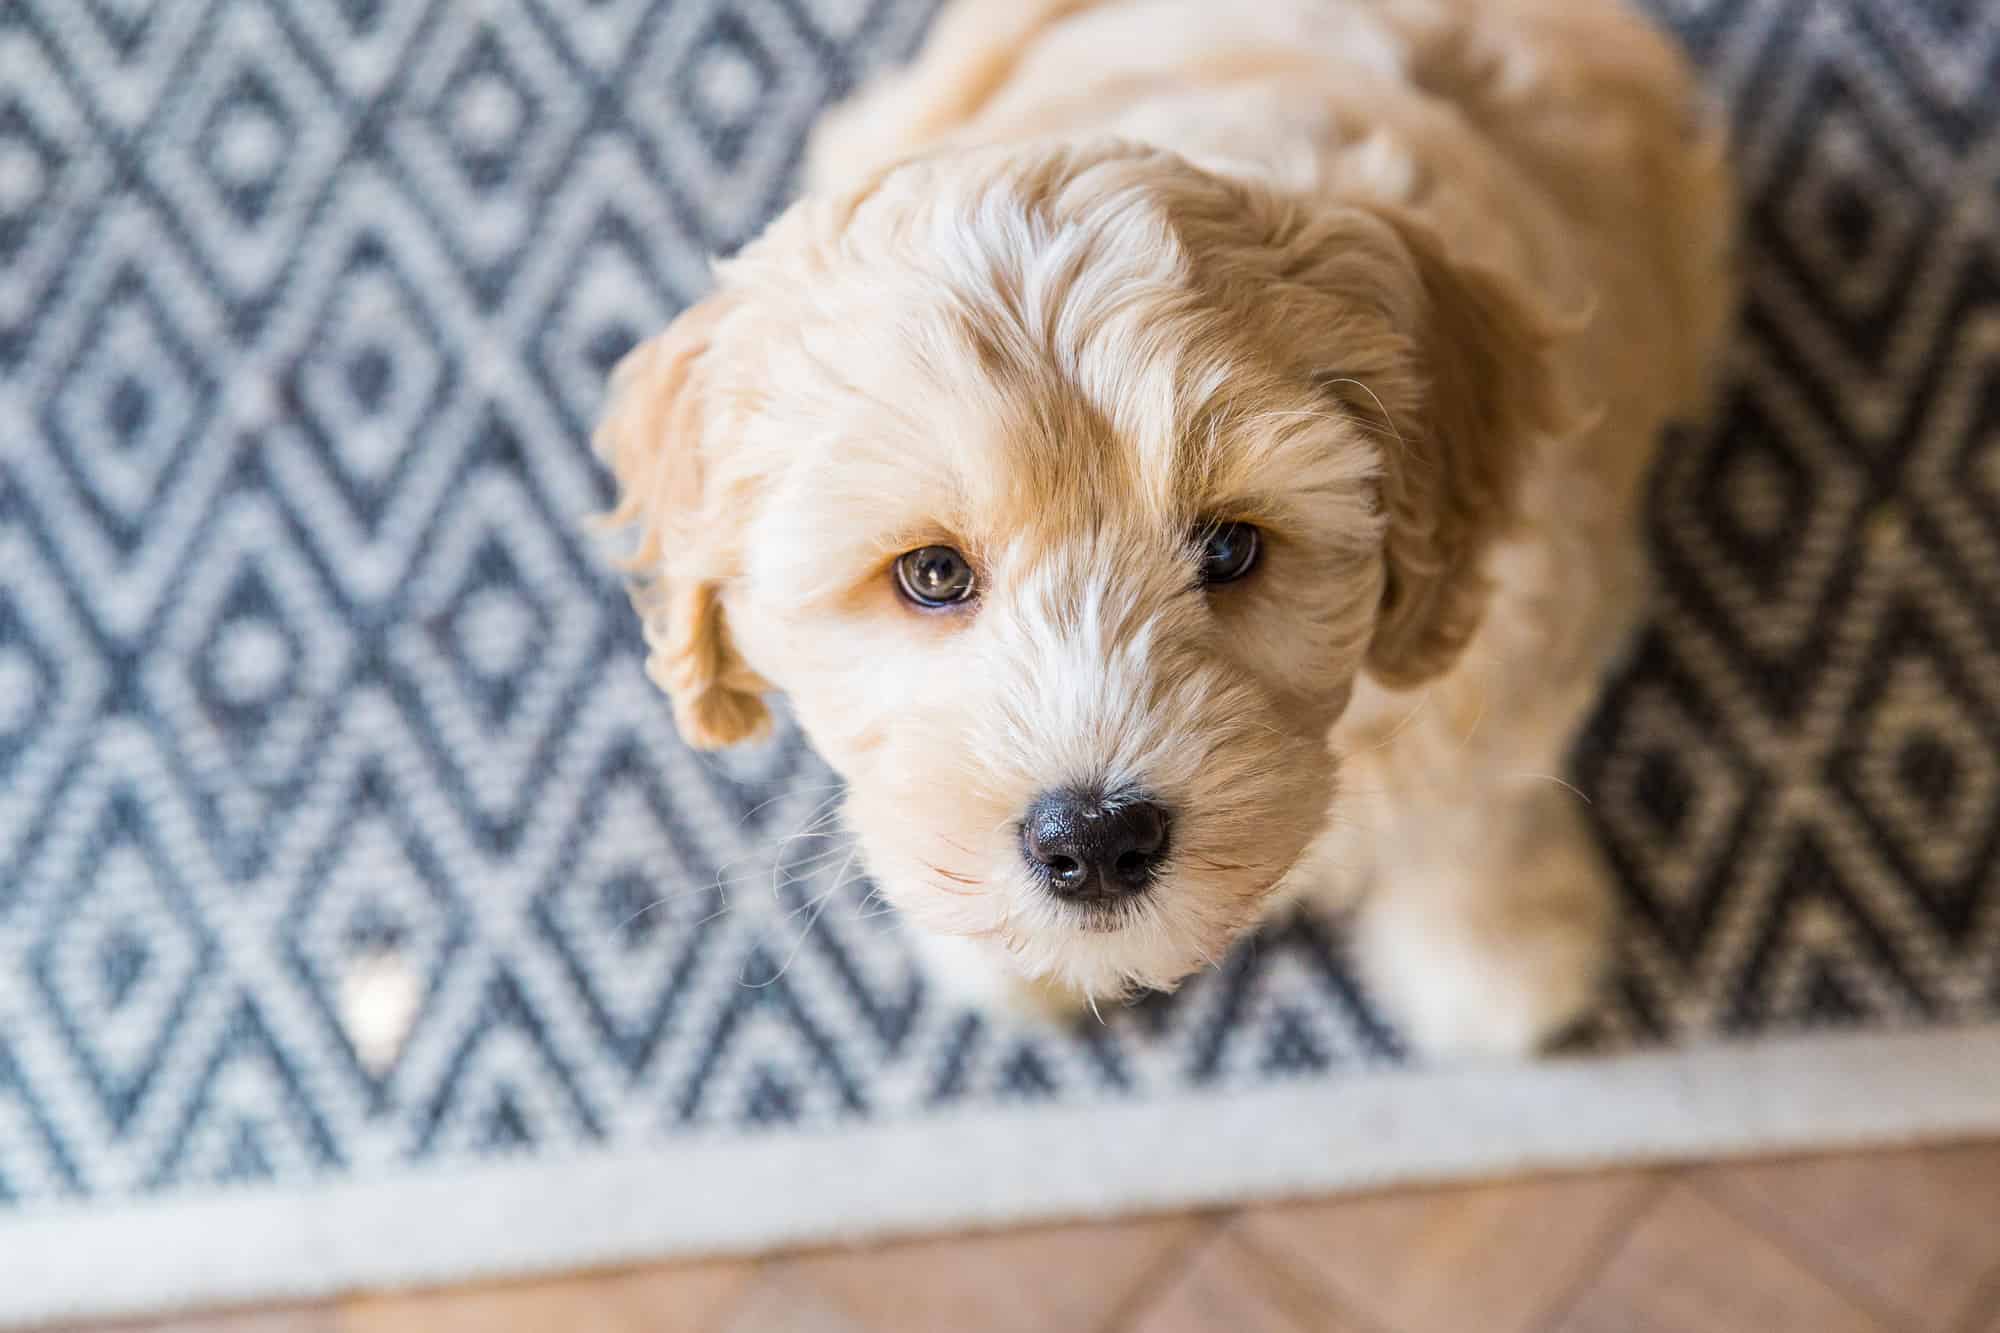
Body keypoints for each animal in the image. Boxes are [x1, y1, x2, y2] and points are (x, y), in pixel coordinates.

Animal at [596, 0, 1736, 1056]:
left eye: (1230, 548)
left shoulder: (1521, 634)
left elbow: (1473, 809)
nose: (1095, 841)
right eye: (931, 573)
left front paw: (1496, 960)